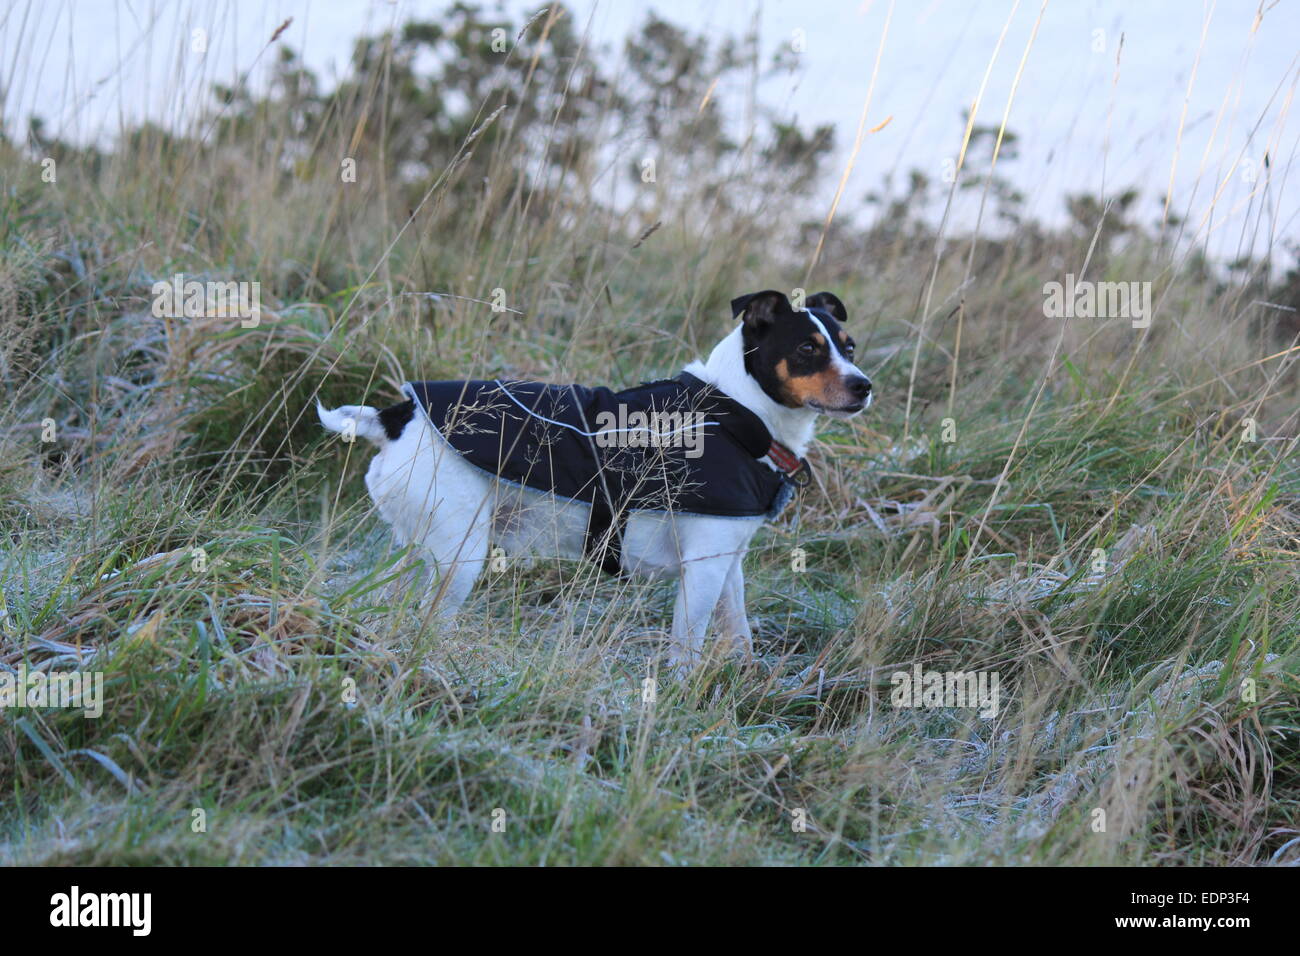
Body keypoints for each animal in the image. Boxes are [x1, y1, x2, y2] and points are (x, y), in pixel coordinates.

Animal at [317, 287, 873, 671]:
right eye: (806, 349)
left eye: (849, 347)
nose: (864, 386)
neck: (734, 414)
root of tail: (396, 415)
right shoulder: (703, 568)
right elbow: (687, 647)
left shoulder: (727, 560)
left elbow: (738, 631)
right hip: (459, 556)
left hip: (420, 546)